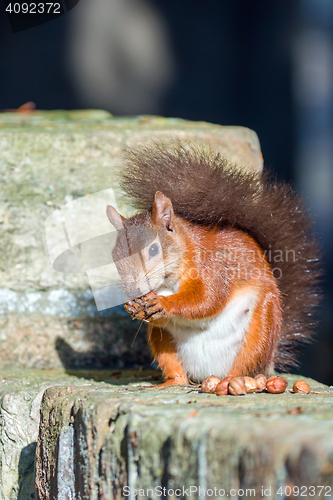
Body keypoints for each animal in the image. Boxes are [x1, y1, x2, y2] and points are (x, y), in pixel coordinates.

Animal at [105, 143, 320, 384]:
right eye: (114, 255)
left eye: (153, 250)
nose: (132, 290)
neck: (168, 281)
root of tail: (208, 374)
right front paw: (131, 306)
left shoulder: (215, 268)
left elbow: (206, 299)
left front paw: (164, 303)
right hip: (164, 344)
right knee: (177, 371)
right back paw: (172, 382)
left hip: (262, 327)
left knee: (245, 364)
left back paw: (231, 382)